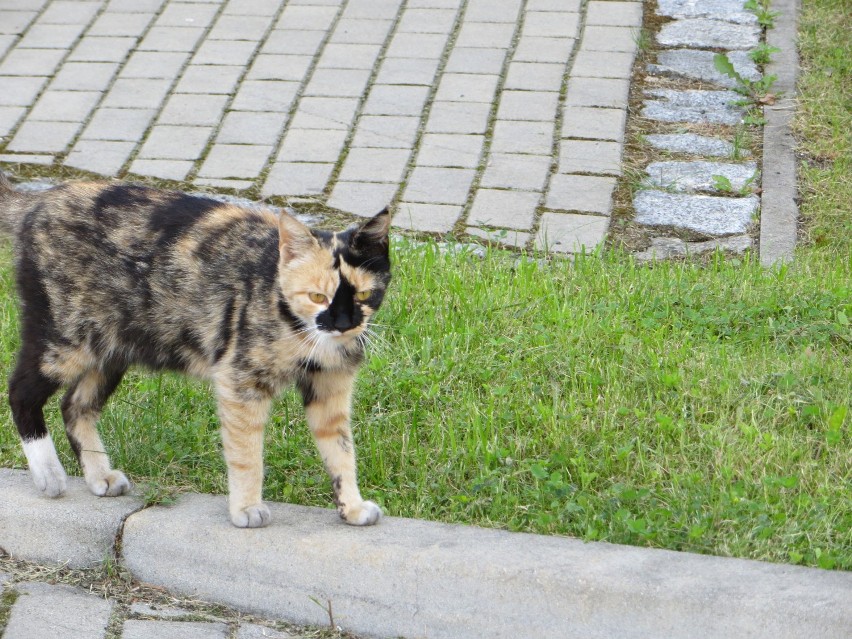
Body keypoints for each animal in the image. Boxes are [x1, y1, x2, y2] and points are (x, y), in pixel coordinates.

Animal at [0, 172, 392, 528]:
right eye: (317, 296)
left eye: (361, 294)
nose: (343, 324)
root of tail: (40, 200)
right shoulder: (239, 381)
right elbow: (247, 453)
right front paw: (246, 508)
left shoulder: (330, 387)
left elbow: (341, 450)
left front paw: (352, 507)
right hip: (65, 340)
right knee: (20, 391)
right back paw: (48, 473)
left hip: (110, 349)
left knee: (75, 406)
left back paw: (100, 476)